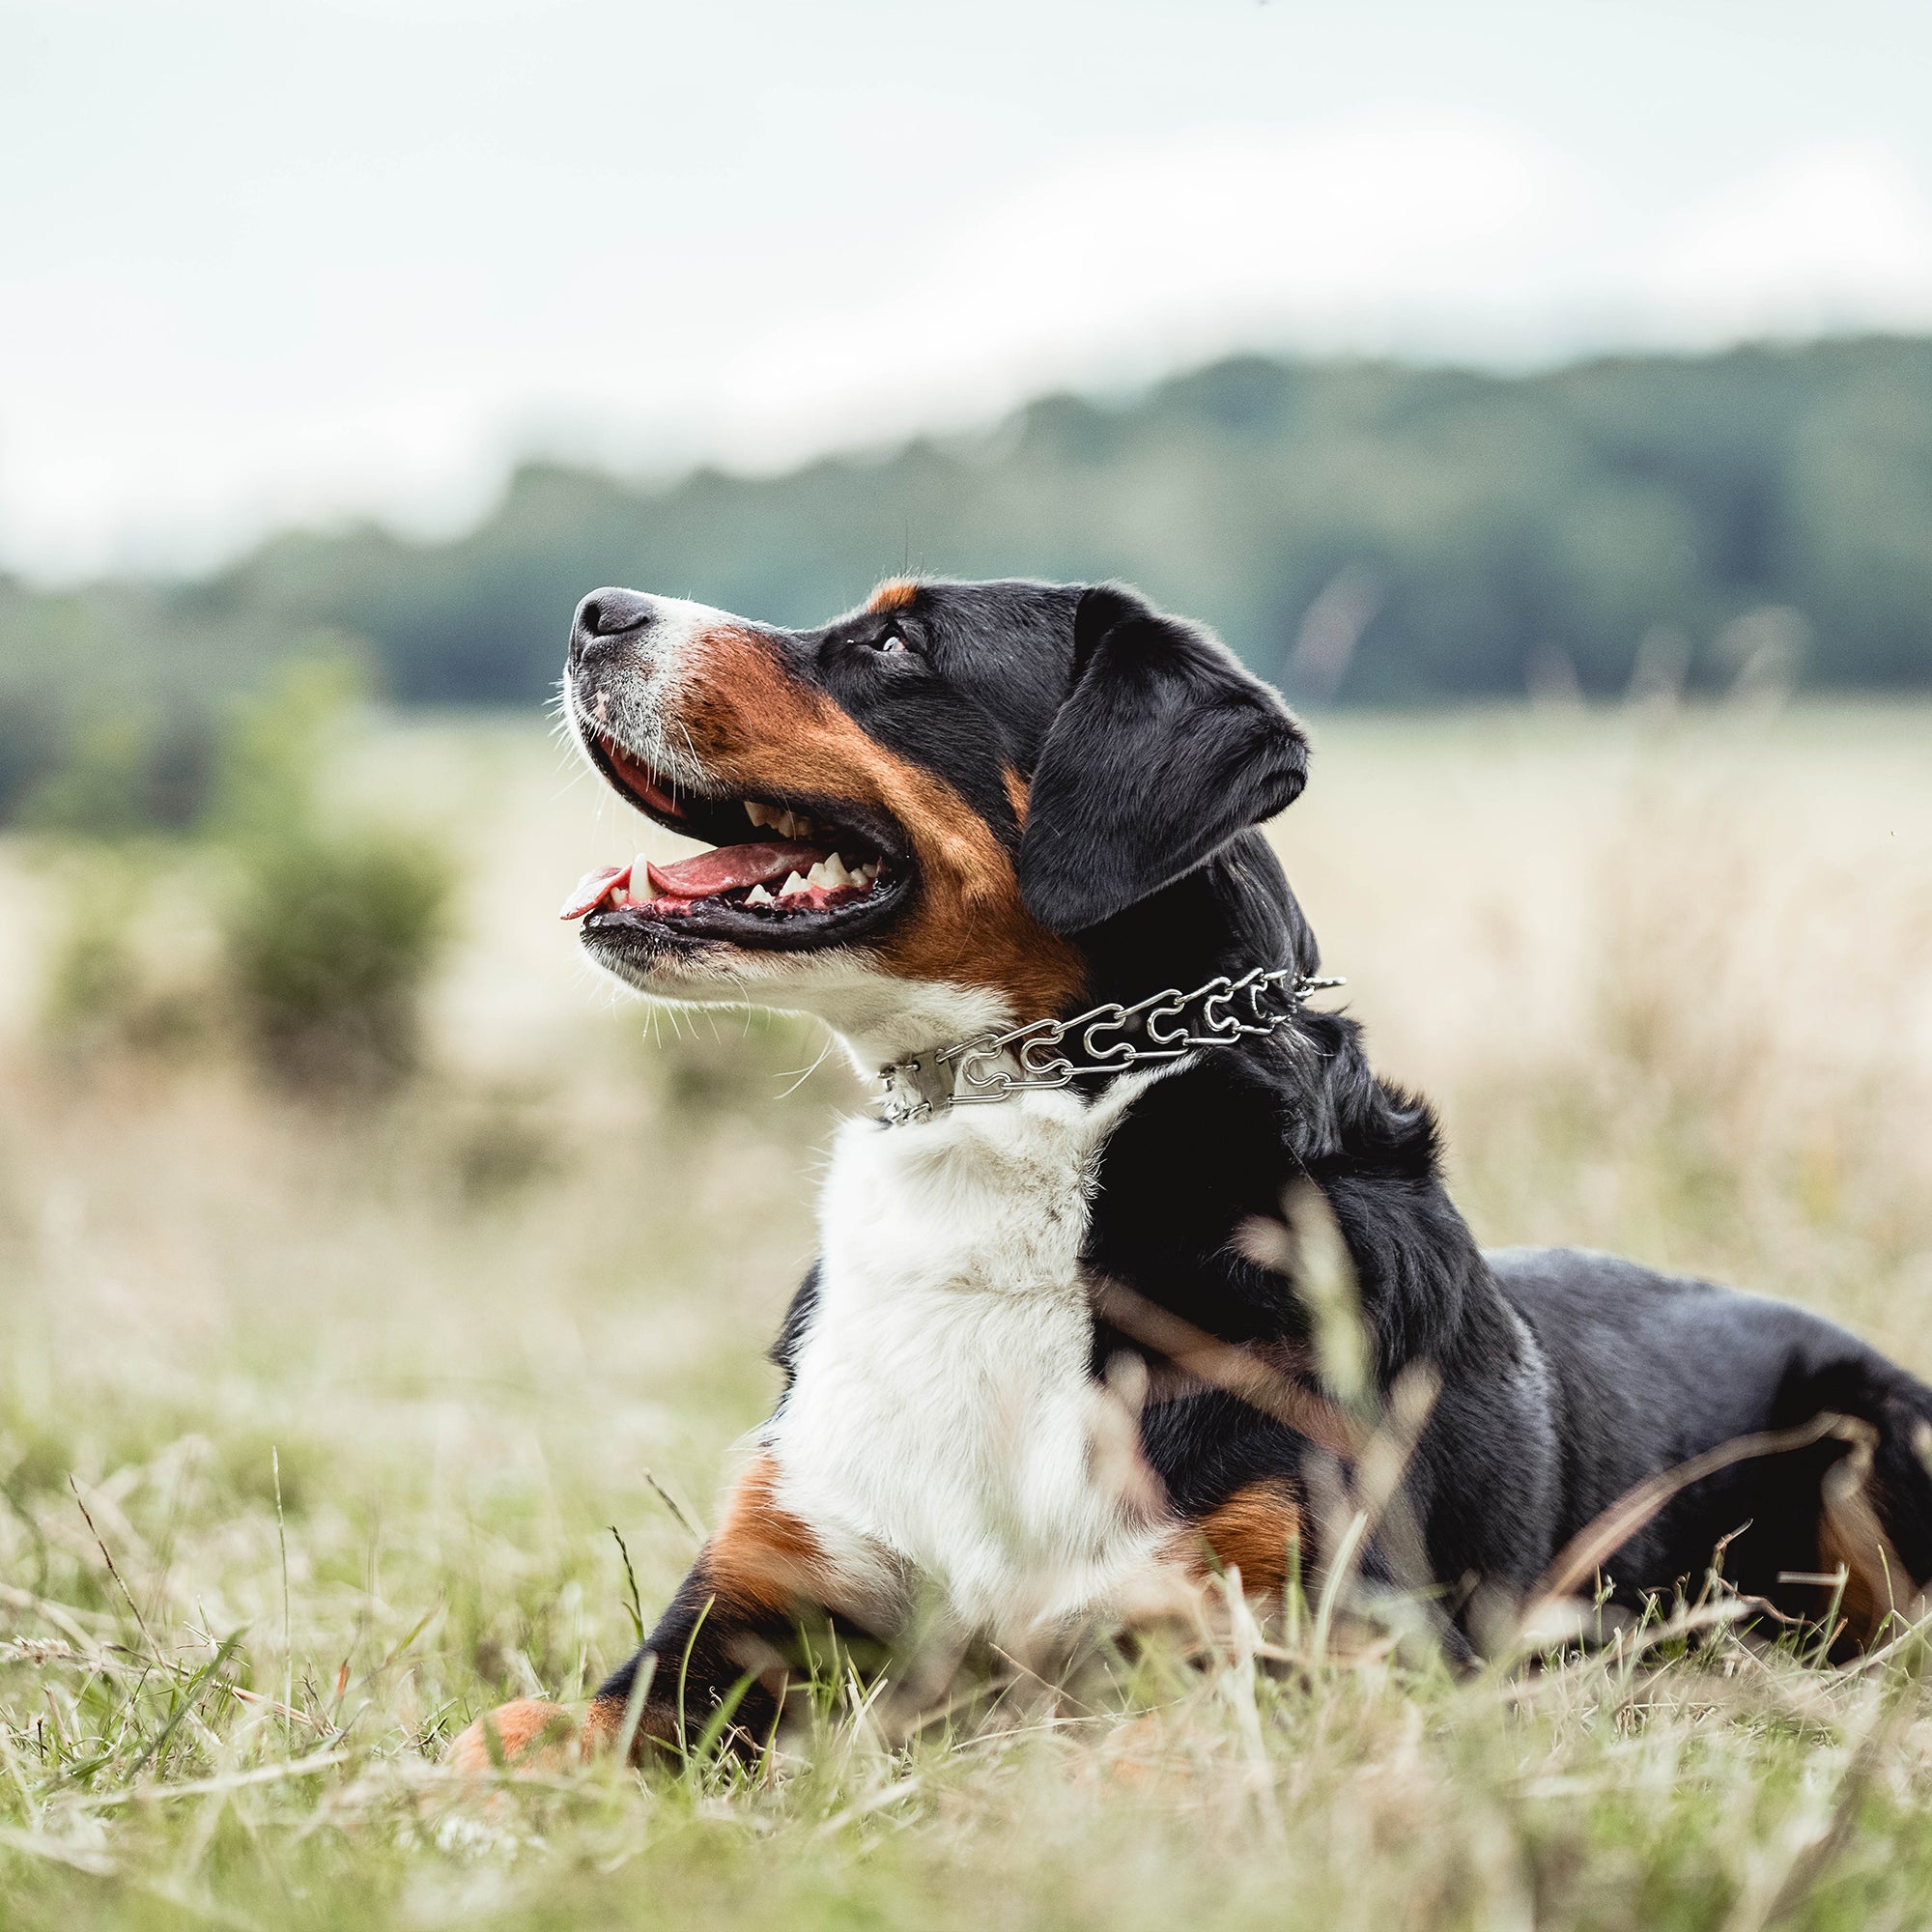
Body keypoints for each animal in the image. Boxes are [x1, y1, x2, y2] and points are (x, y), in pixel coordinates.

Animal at [452, 580, 1932, 1770]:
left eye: (895, 641)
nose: (595, 610)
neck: (1010, 1150)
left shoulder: (1307, 1652)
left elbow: (1122, 1761)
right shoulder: (749, 1610)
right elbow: (506, 1736)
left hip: (1868, 1444)